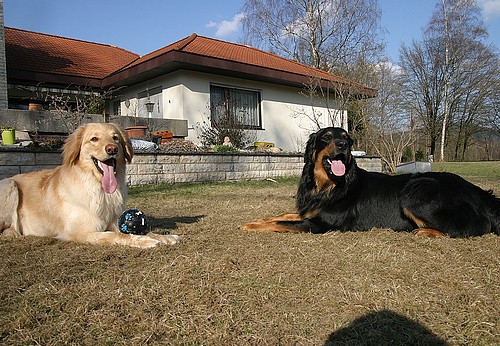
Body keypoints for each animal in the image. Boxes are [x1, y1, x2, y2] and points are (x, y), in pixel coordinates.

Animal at [240, 127, 498, 238]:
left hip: (416, 190)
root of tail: (476, 191)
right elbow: (281, 215)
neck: (329, 184)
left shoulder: (321, 225)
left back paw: (425, 231)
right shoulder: (310, 211)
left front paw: (250, 226)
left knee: (473, 227)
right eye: (326, 137)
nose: (343, 146)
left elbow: (282, 223)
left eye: (347, 138)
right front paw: (257, 219)